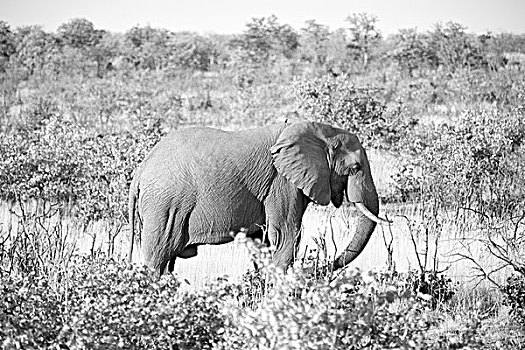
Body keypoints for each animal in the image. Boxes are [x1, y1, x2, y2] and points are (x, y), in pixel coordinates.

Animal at [128, 121, 388, 276]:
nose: (323, 268)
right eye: (355, 168)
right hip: (165, 207)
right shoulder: (281, 183)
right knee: (158, 257)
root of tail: (139, 172)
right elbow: (286, 236)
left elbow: (261, 242)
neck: (318, 131)